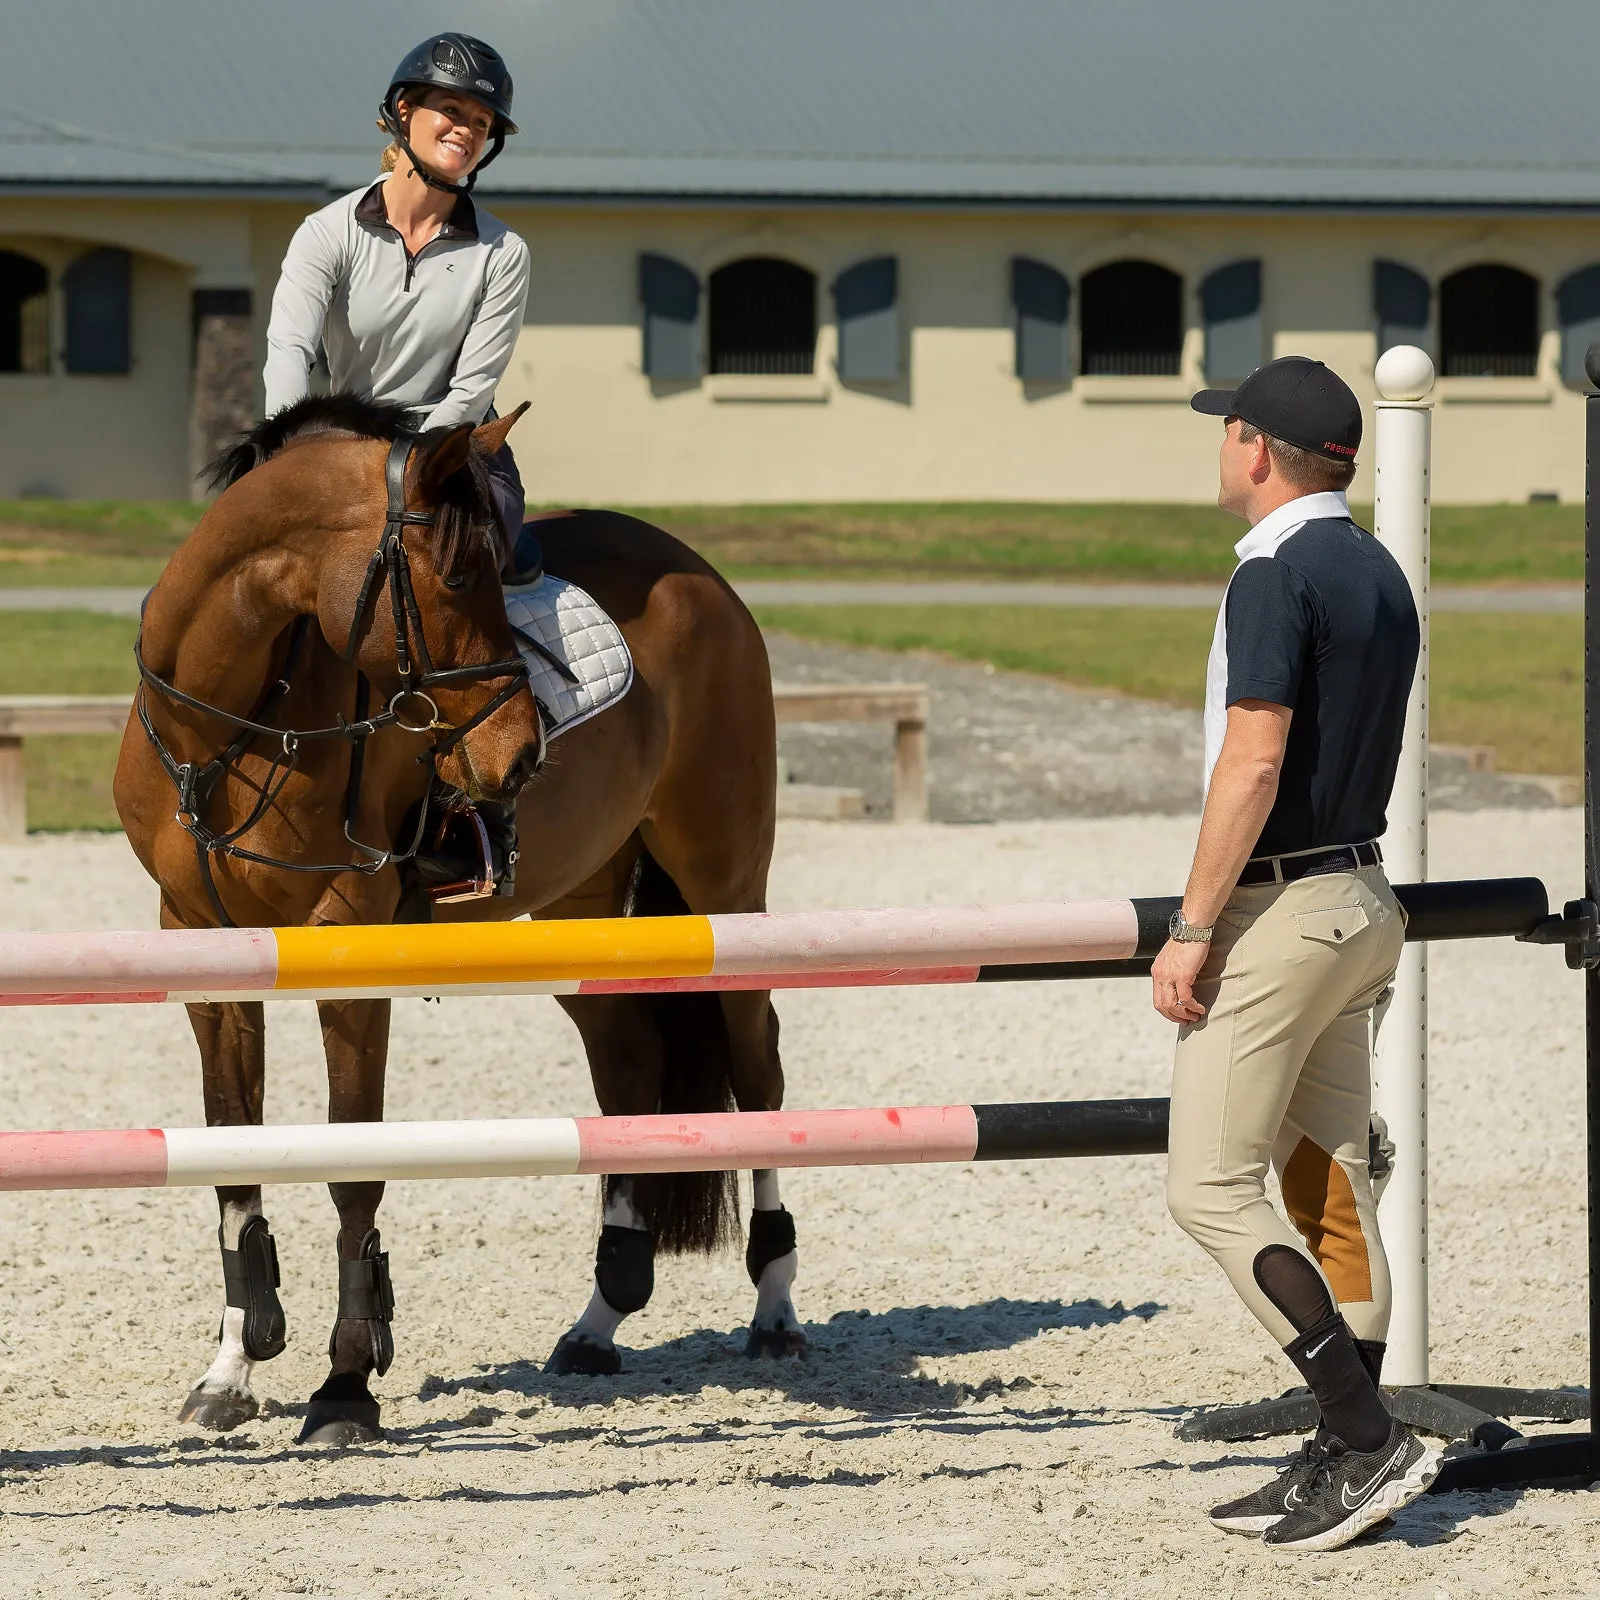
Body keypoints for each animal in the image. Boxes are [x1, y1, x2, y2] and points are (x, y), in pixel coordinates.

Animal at [116, 393, 800, 1446]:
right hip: (580, 906)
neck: (224, 731)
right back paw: (600, 1321)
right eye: (453, 574)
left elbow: (354, 1166)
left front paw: (346, 1386)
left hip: (724, 883)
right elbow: (231, 1157)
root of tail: (701, 573)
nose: (520, 757)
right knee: (629, 1065)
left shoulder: (349, 946)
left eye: (489, 570)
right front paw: (232, 1368)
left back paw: (774, 1312)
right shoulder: (201, 947)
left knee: (759, 1068)